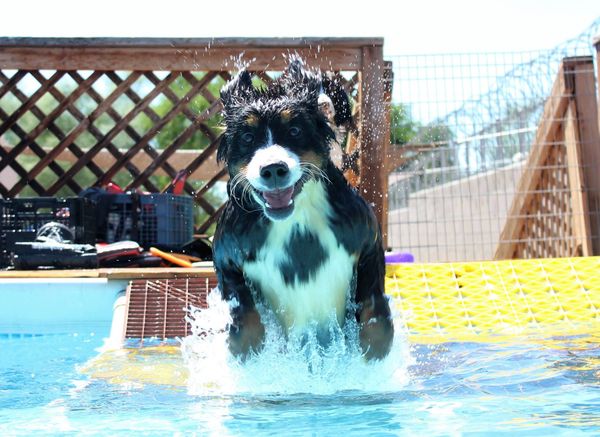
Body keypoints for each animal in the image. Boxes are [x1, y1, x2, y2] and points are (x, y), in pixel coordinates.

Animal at [212, 57, 394, 362]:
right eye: (247, 137)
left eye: (295, 130)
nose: (273, 169)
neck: (296, 221)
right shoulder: (226, 250)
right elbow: (241, 305)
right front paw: (244, 343)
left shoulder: (366, 237)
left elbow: (372, 301)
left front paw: (376, 344)